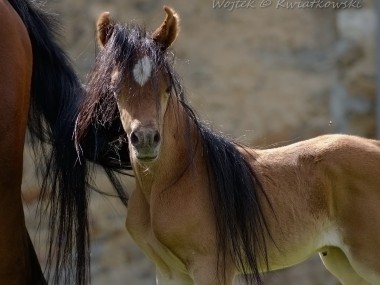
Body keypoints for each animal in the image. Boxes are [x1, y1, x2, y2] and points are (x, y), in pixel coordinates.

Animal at [76, 6, 380, 284]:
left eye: (166, 86)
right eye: (115, 87)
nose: (147, 140)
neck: (176, 180)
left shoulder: (211, 267)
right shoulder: (169, 273)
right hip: (344, 263)